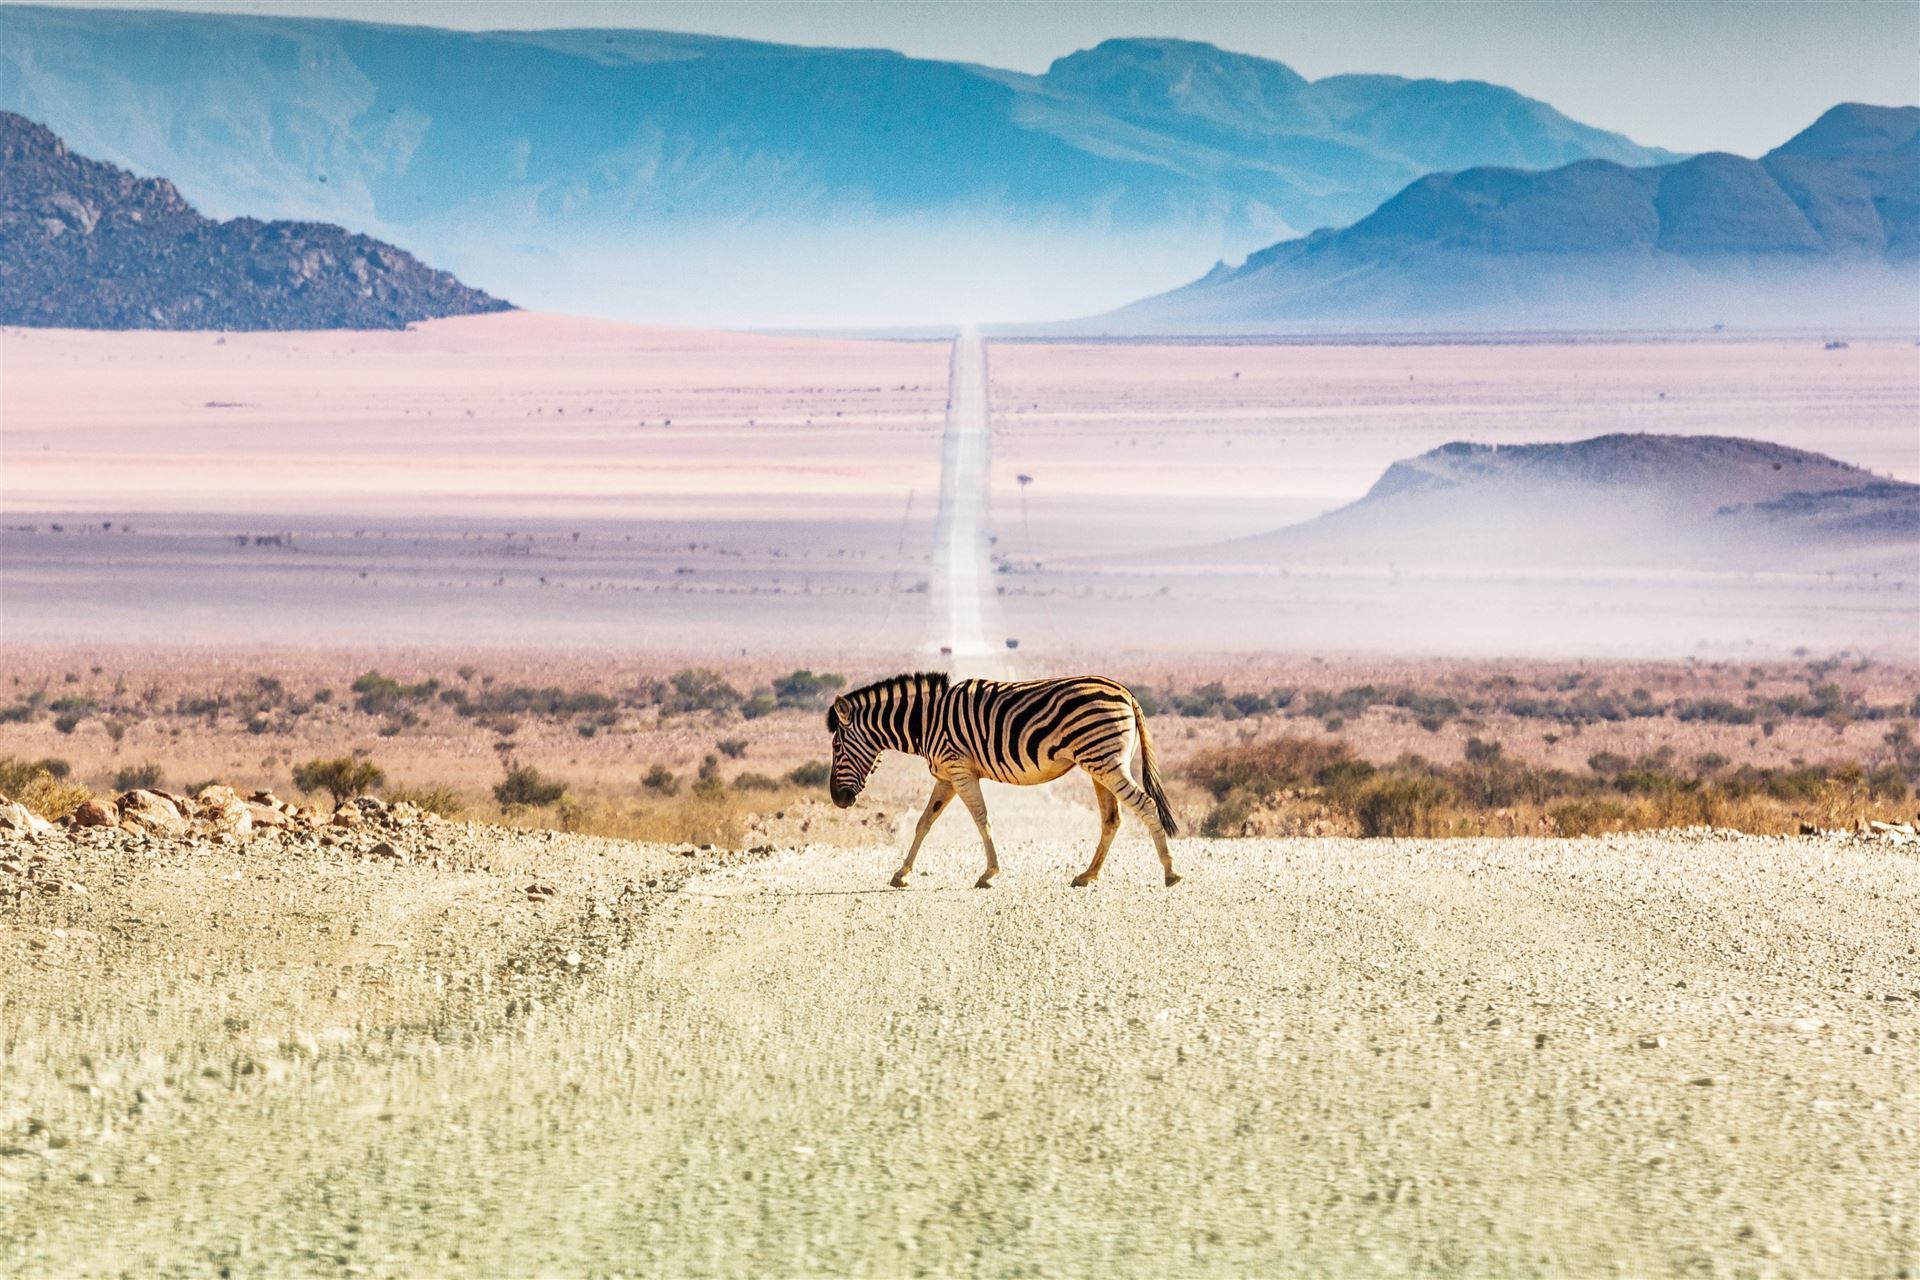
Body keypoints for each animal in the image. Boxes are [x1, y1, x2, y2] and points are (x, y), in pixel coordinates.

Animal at [826, 672, 1181, 889]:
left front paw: (989, 874)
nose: (837, 800)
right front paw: (901, 874)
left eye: (836, 747)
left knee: (1146, 804)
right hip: (1100, 765)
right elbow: (924, 823)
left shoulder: (960, 769)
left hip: (1106, 762)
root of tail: (1126, 693)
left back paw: (1170, 872)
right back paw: (1088, 875)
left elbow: (981, 819)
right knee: (1112, 818)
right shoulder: (946, 776)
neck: (924, 722)